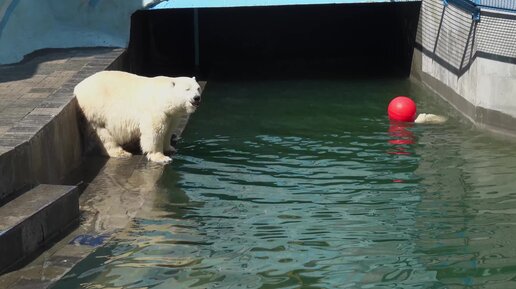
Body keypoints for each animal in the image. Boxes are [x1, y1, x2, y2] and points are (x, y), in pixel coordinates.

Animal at [74, 70, 202, 162]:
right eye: (187, 89)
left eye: (198, 88)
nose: (197, 98)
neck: (163, 97)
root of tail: (77, 88)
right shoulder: (154, 110)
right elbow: (154, 132)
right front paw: (161, 157)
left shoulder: (171, 114)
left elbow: (168, 130)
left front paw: (170, 148)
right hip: (96, 111)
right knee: (103, 134)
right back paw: (121, 153)